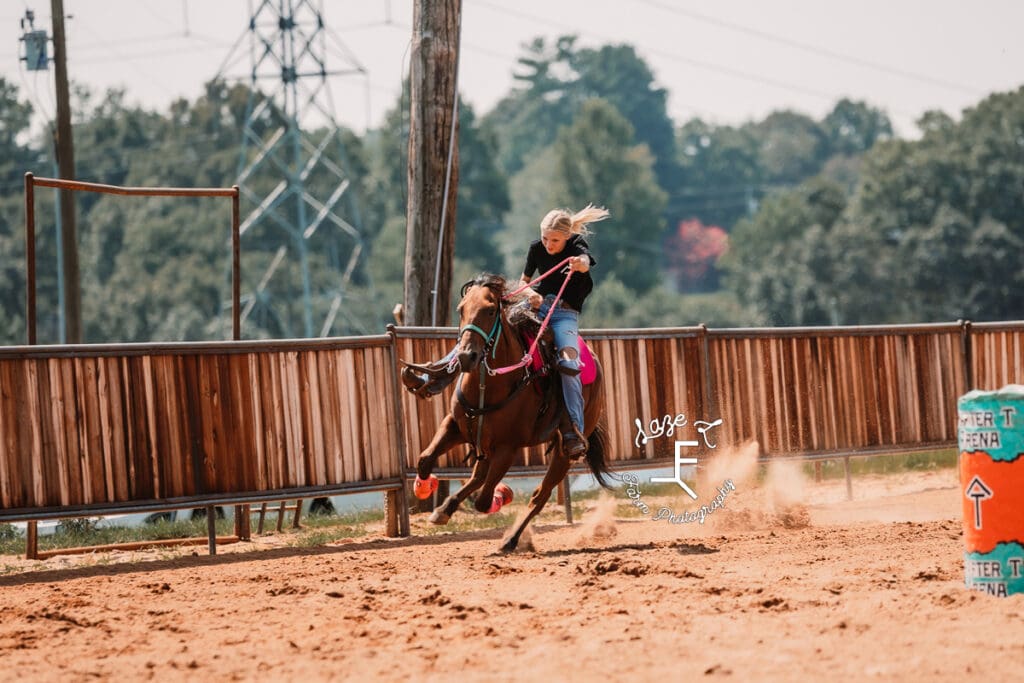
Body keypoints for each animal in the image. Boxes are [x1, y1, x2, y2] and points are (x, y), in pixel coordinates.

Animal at [411, 272, 610, 548]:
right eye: (461, 309)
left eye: (490, 310)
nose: (466, 357)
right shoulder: (455, 426)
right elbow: (425, 459)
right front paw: (424, 489)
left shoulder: (507, 448)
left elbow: (484, 501)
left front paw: (502, 496)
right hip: (483, 441)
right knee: (479, 475)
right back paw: (446, 509)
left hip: (564, 452)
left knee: (538, 496)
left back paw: (511, 540)